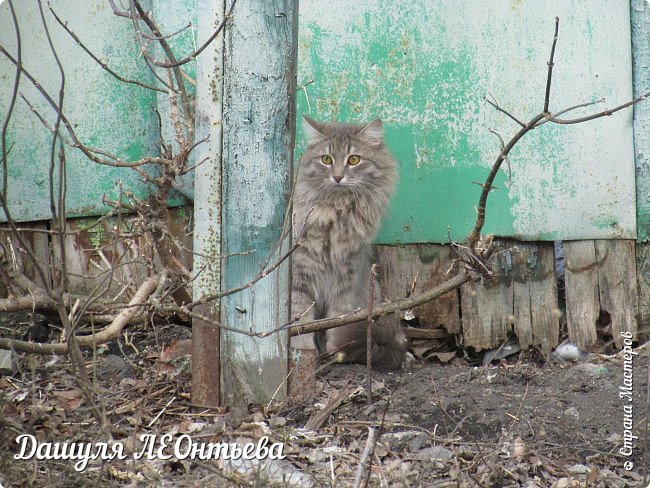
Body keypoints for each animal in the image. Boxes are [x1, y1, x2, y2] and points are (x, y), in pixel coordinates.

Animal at [290, 116, 404, 370]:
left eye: (354, 159)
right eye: (326, 159)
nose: (338, 177)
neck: (336, 211)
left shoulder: (346, 274)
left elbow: (337, 318)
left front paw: (336, 350)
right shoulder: (301, 274)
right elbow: (301, 320)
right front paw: (303, 351)